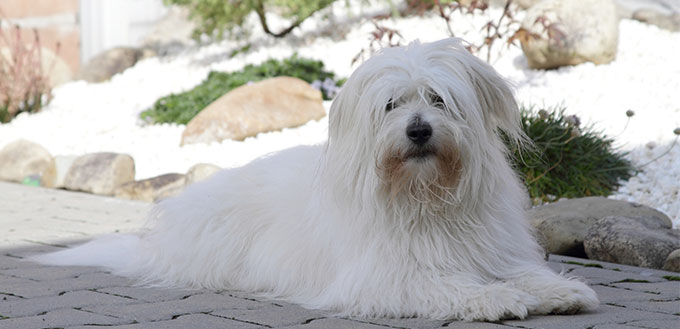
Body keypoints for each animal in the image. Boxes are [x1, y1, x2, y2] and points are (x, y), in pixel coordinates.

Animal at [34, 37, 596, 320]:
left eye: (439, 99)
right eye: (391, 105)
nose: (418, 130)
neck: (424, 195)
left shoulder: (490, 250)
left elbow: (519, 272)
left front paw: (557, 290)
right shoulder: (386, 277)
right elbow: (447, 286)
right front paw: (495, 300)